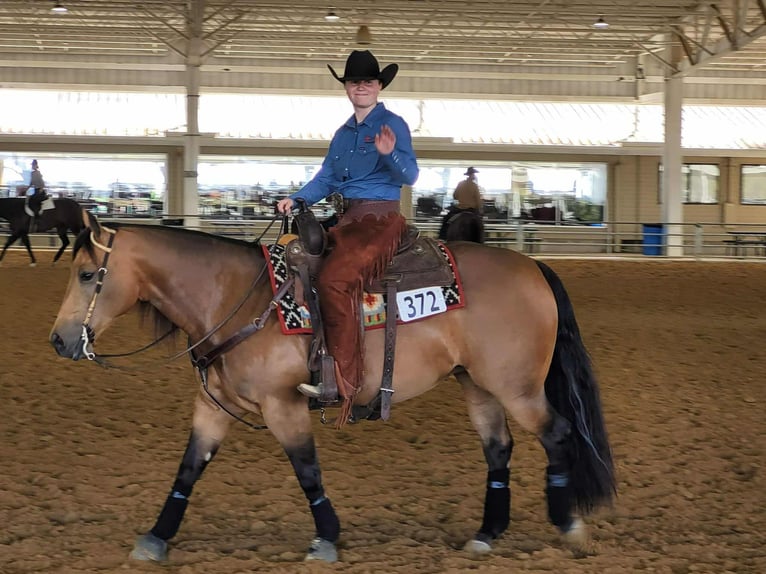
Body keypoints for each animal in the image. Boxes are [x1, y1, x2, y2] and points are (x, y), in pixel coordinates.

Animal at [49, 212, 615, 564]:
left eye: (86, 274)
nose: (58, 340)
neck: (237, 297)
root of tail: (534, 267)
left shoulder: (283, 406)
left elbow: (307, 470)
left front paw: (326, 539)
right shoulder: (215, 407)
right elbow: (189, 468)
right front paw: (155, 537)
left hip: (518, 388)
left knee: (558, 434)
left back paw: (569, 527)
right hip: (477, 386)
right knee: (499, 449)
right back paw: (485, 536)